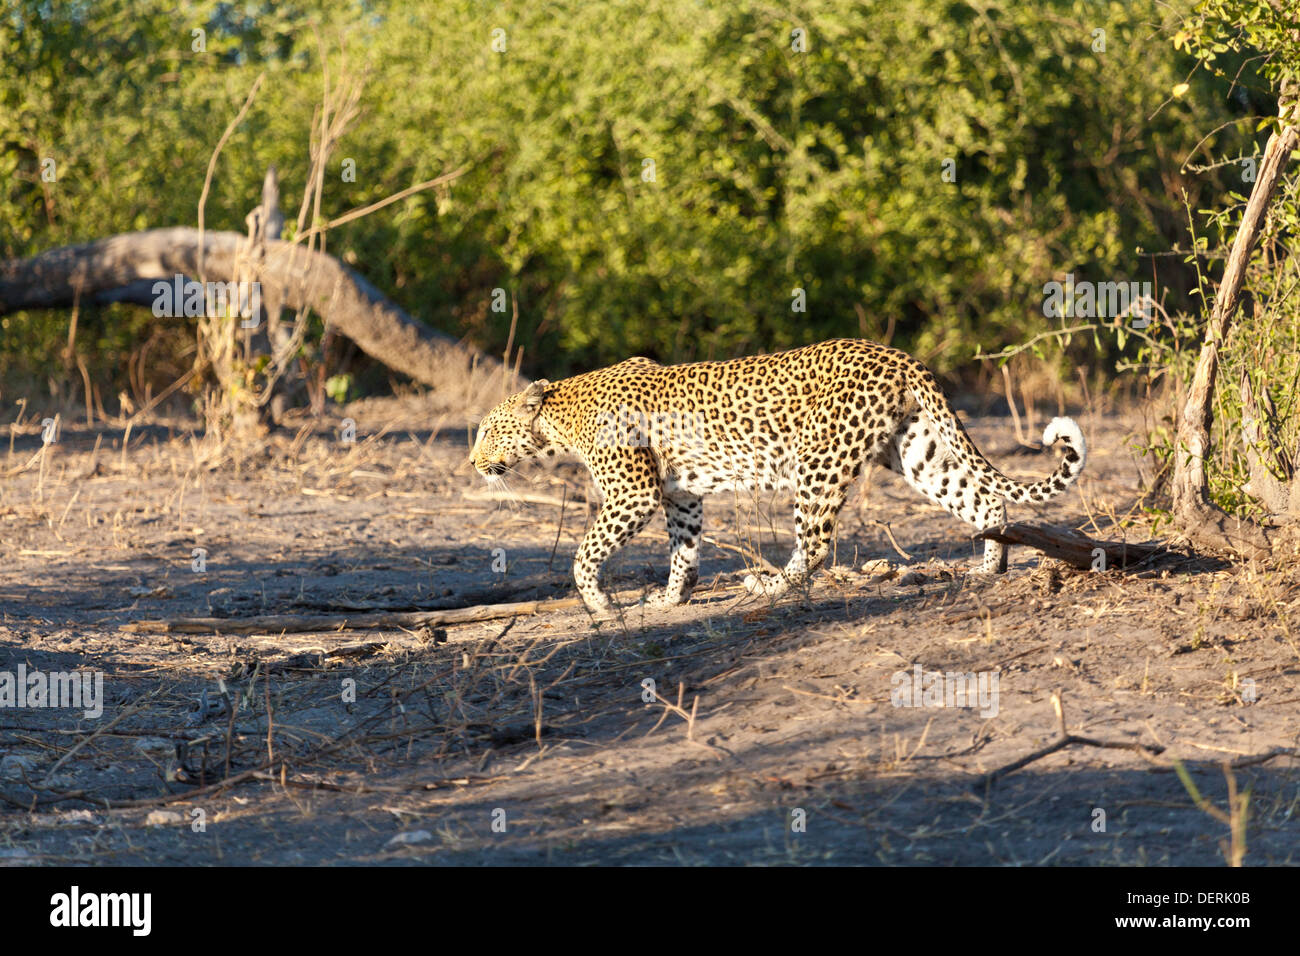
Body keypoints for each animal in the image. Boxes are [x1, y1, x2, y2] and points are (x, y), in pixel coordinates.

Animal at [473, 340, 1081, 616]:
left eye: (487, 432)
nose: (475, 464)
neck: (558, 417)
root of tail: (893, 352)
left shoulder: (633, 494)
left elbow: (585, 552)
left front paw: (598, 603)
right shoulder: (680, 495)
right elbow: (683, 551)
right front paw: (671, 600)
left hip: (819, 461)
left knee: (813, 544)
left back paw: (770, 587)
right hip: (917, 452)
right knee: (984, 502)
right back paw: (989, 568)